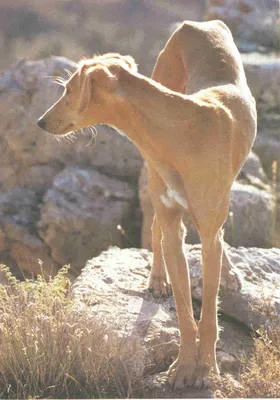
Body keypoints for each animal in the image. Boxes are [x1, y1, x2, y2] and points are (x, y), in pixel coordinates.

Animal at [38, 21, 258, 388]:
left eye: (68, 90)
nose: (40, 122)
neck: (181, 134)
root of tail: (198, 24)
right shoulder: (173, 225)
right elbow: (184, 309)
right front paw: (184, 366)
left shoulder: (207, 229)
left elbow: (209, 313)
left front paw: (206, 369)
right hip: (155, 179)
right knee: (156, 226)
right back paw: (157, 279)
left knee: (218, 237)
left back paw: (227, 272)